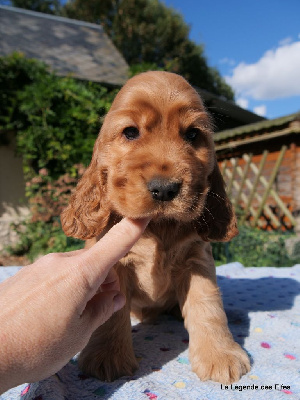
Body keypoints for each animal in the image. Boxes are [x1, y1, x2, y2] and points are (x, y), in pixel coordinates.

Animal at [61, 70, 251, 382]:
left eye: (192, 134)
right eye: (130, 132)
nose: (164, 189)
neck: (159, 226)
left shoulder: (196, 259)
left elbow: (208, 304)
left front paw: (220, 355)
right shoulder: (113, 264)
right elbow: (112, 313)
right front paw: (108, 357)